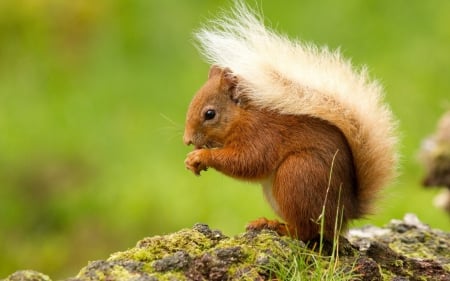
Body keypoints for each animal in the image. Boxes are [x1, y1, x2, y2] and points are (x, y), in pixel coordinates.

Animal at [181, 1, 396, 241]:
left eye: (210, 114)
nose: (187, 140)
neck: (242, 117)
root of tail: (345, 213)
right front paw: (191, 160)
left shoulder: (260, 135)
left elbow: (247, 161)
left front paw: (201, 156)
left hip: (296, 175)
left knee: (304, 231)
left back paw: (274, 225)